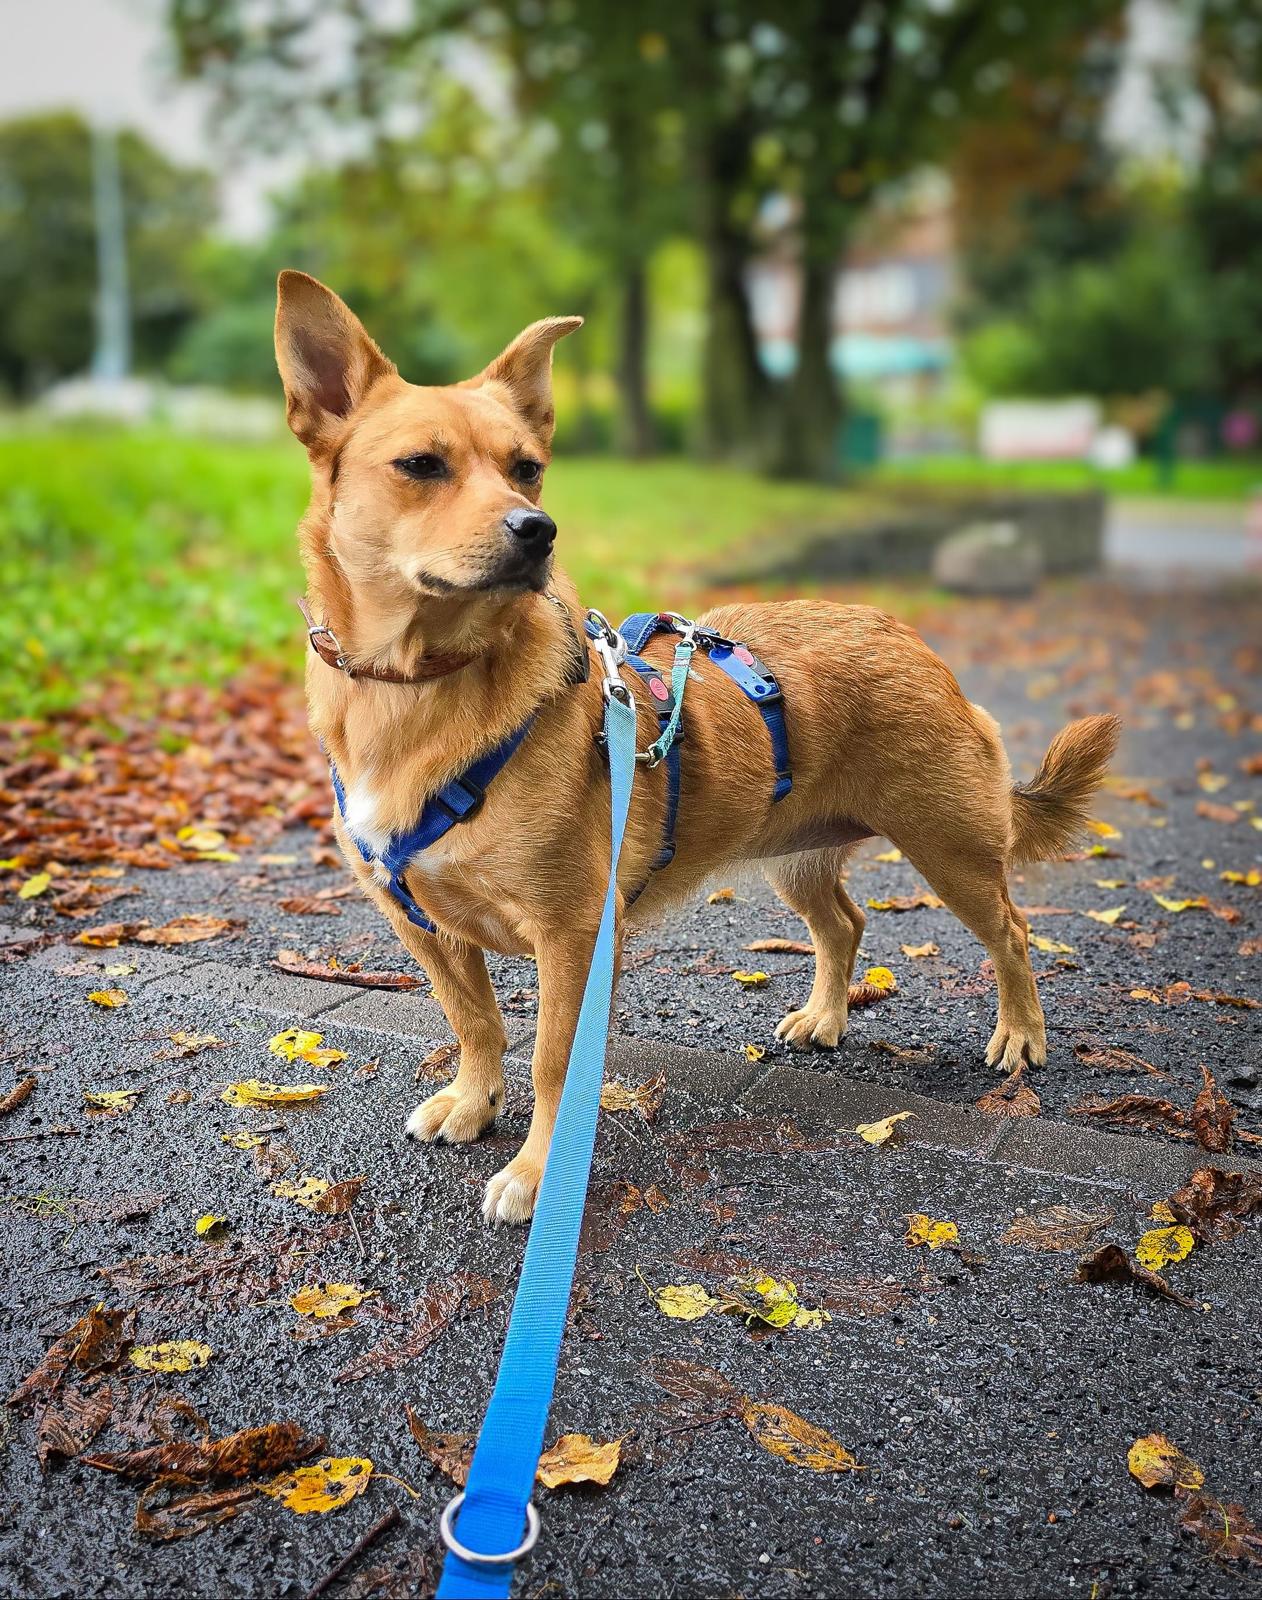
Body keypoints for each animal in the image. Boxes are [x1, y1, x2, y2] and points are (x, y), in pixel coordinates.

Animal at [274, 270, 1120, 1225]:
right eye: (421, 465)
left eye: (528, 468)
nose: (538, 529)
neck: (419, 688)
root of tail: (907, 636)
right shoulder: (422, 926)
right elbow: (476, 1022)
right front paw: (473, 1100)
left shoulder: (574, 940)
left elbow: (553, 1064)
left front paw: (537, 1173)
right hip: (799, 857)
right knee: (845, 924)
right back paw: (825, 1017)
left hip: (953, 852)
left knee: (1012, 932)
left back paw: (1019, 1035)